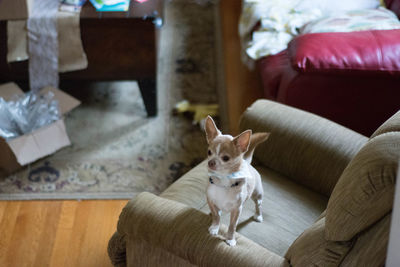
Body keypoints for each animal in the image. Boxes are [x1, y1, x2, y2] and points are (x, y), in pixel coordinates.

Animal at [206, 116, 268, 248]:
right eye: (209, 152)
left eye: (225, 158)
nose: (210, 162)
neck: (223, 181)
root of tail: (247, 162)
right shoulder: (210, 200)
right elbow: (216, 216)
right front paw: (214, 227)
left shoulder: (237, 209)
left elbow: (232, 226)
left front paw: (230, 239)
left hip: (257, 194)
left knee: (258, 205)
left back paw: (258, 215)